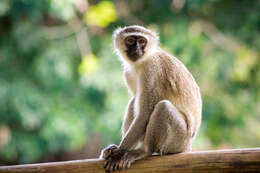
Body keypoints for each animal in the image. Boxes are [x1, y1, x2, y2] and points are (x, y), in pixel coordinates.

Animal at [99, 25, 201, 172]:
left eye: (142, 41)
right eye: (130, 40)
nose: (137, 49)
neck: (141, 63)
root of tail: (188, 147)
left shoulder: (152, 70)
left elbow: (146, 113)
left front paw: (119, 153)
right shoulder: (128, 73)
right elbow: (137, 103)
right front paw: (116, 149)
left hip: (179, 140)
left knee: (163, 107)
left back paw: (144, 151)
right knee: (134, 101)